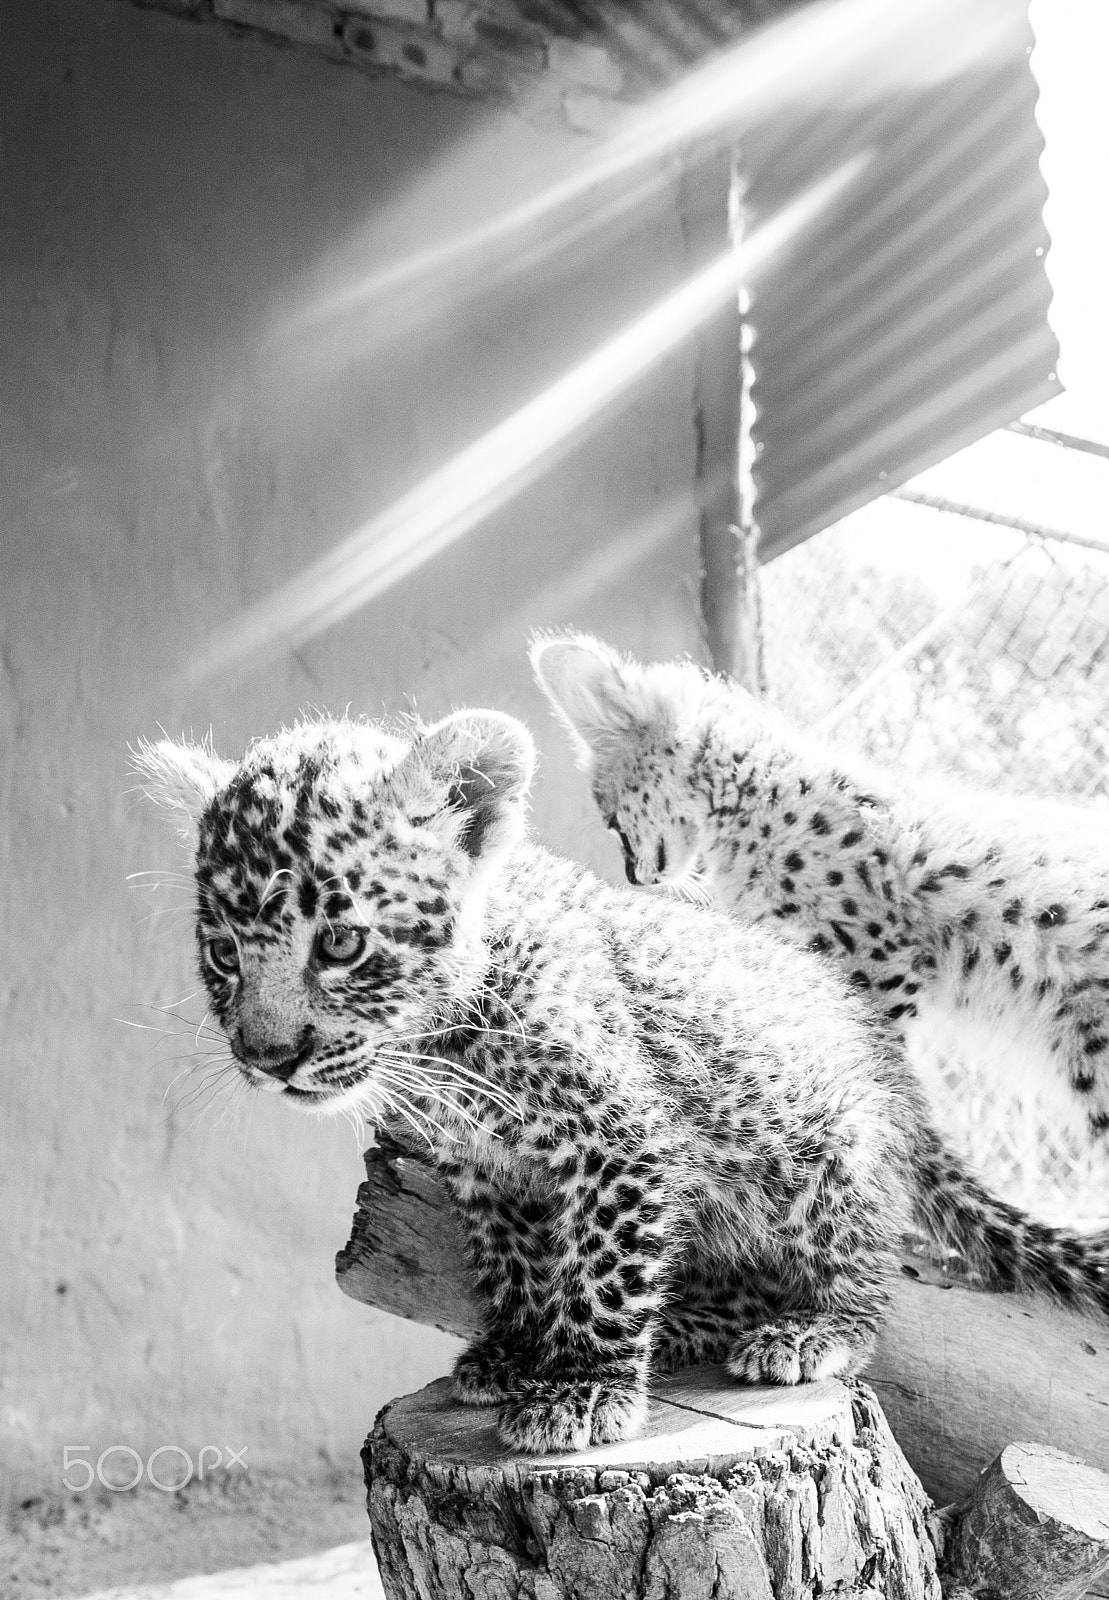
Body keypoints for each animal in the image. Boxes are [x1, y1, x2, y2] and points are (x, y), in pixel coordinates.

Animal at [134, 707, 1109, 1455]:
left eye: (340, 943)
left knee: (865, 1270)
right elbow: (516, 1263)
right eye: (223, 954)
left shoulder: (624, 1142)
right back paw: (683, 1326)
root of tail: (895, 1079)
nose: (267, 1058)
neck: (448, 1043)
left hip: (820, 1158)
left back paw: (811, 1332)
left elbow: (602, 1268)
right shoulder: (487, 1171)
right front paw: (516, 1354)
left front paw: (581, 1389)